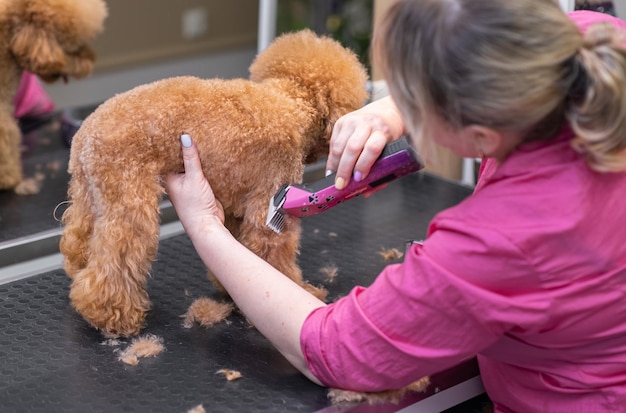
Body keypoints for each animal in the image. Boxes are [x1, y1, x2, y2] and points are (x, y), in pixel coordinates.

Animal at [60, 30, 368, 336]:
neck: (293, 102)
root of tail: (85, 135)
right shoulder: (268, 203)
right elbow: (273, 258)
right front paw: (300, 289)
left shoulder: (234, 206)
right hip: (129, 198)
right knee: (117, 258)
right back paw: (113, 316)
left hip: (91, 194)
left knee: (80, 241)